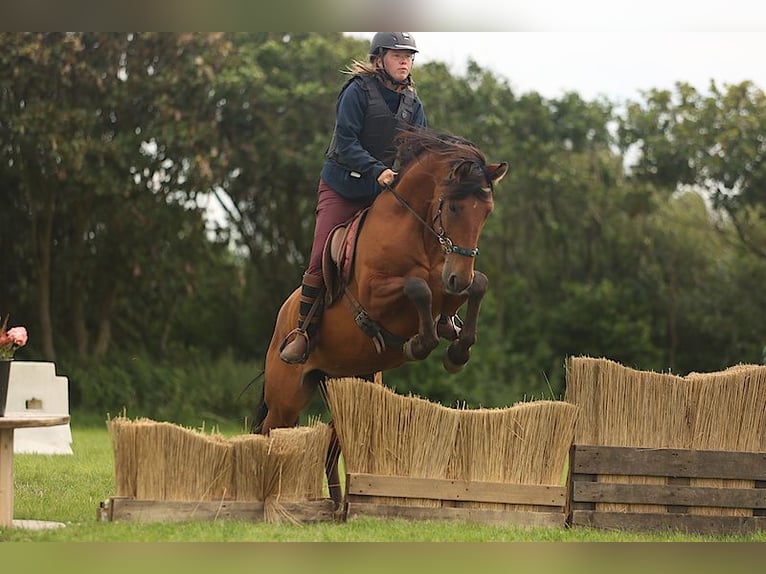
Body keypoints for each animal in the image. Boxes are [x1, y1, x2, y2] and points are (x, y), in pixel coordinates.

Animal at [252, 127, 510, 508]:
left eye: (487, 212)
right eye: (453, 206)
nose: (458, 276)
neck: (417, 231)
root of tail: (282, 319)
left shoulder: (447, 279)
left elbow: (475, 285)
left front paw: (456, 350)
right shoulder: (377, 293)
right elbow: (418, 287)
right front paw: (420, 344)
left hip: (347, 385)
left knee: (331, 448)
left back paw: (337, 505)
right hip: (286, 396)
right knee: (272, 433)